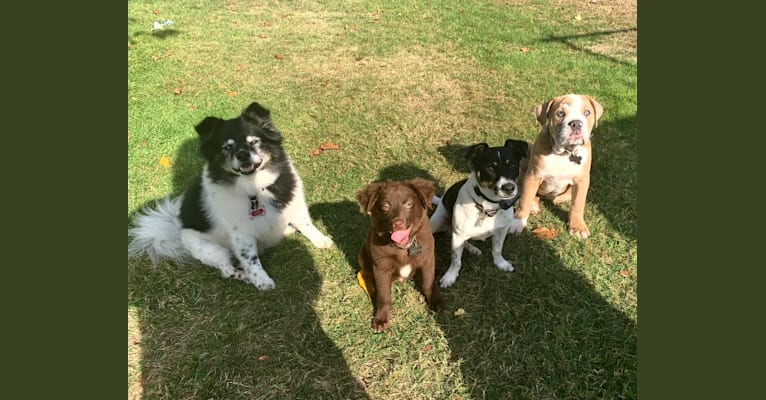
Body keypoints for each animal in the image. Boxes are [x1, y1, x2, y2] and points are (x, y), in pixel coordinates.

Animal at [130, 101, 336, 290]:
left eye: (253, 141)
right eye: (227, 147)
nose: (243, 154)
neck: (254, 190)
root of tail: (177, 227)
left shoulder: (293, 203)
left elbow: (306, 224)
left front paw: (321, 240)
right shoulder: (241, 234)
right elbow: (250, 258)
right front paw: (261, 280)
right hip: (210, 249)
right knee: (226, 269)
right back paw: (244, 275)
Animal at [428, 138, 532, 288]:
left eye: (512, 164)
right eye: (490, 168)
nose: (509, 188)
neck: (489, 206)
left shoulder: (502, 230)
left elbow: (497, 249)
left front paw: (500, 263)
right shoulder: (458, 235)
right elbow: (456, 260)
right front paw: (450, 276)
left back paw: (473, 249)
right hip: (438, 222)